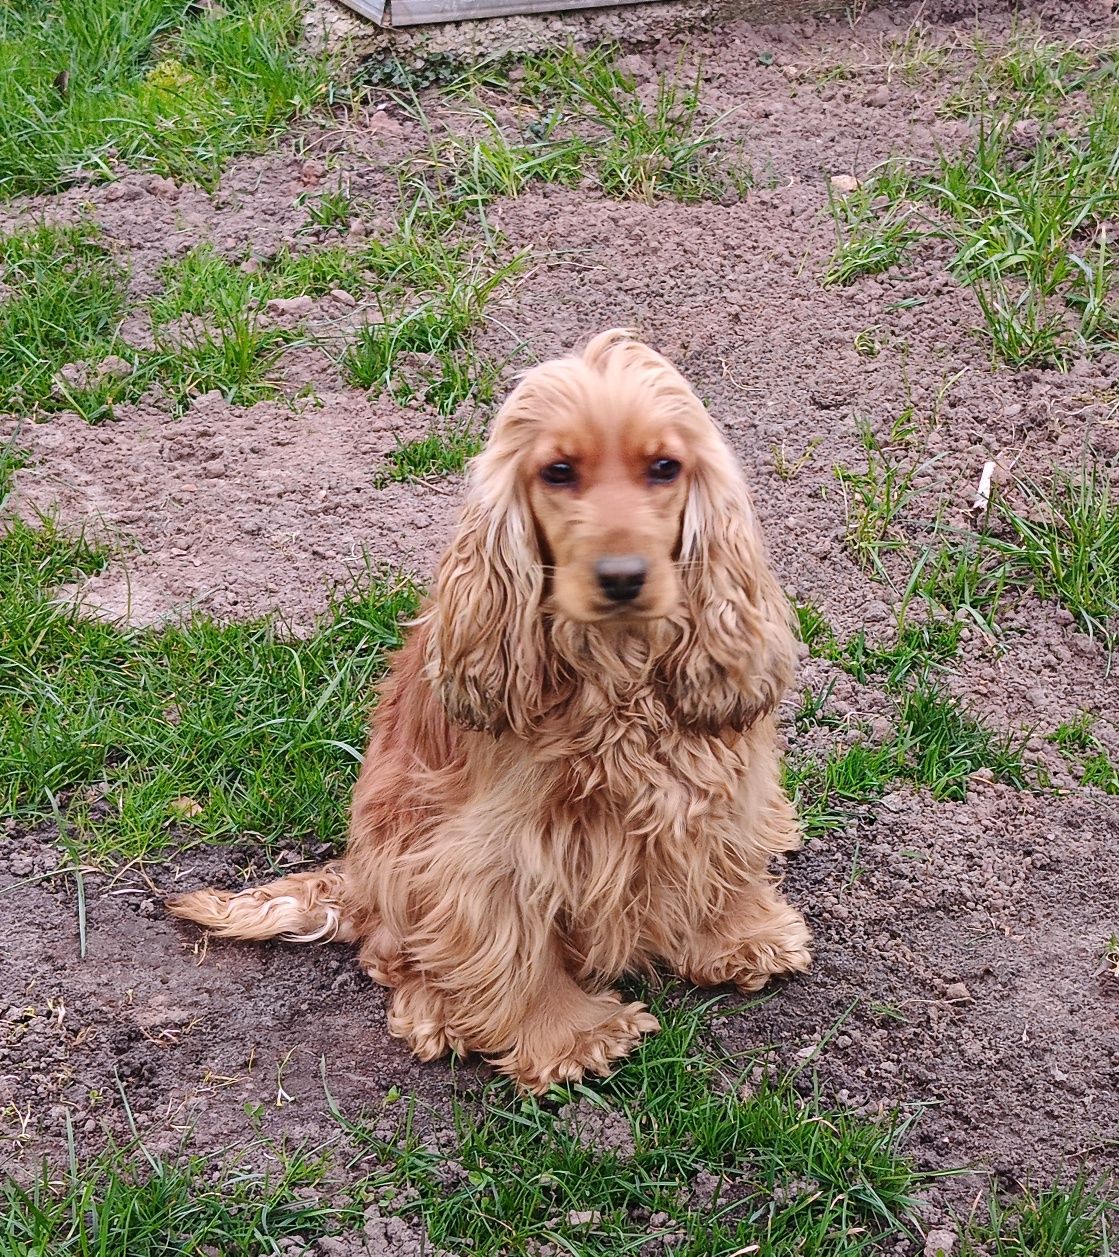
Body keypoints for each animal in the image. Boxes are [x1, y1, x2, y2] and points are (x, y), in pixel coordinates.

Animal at [168, 329, 809, 1096]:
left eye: (665, 467)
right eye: (558, 471)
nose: (622, 577)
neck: (618, 670)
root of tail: (357, 880)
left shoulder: (723, 780)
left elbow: (725, 861)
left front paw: (744, 940)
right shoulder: (499, 849)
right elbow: (513, 941)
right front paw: (571, 1036)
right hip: (401, 850)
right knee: (394, 954)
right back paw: (438, 1013)